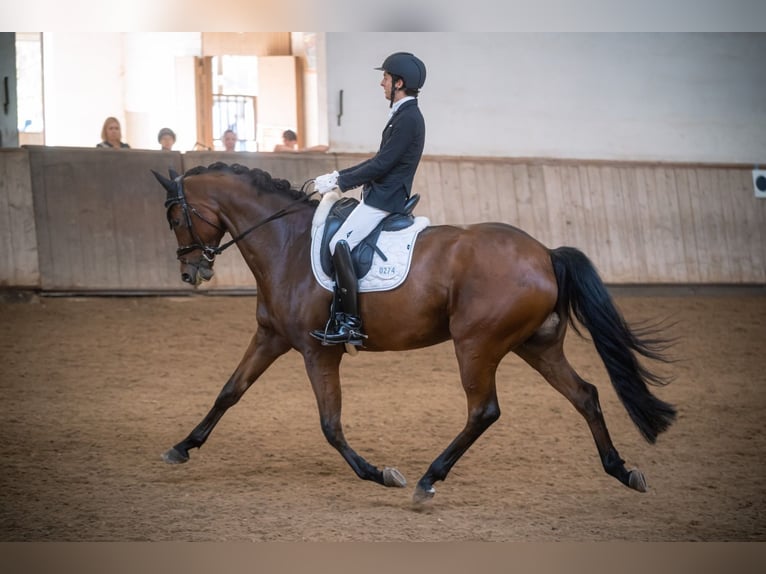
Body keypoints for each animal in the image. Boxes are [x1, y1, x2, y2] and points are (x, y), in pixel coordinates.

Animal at [152, 161, 676, 503]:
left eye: (176, 217)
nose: (192, 272)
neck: (288, 243)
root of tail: (545, 253)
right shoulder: (271, 337)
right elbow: (229, 392)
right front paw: (181, 447)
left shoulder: (317, 351)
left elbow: (330, 424)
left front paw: (380, 474)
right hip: (536, 346)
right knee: (585, 394)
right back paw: (621, 471)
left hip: (476, 344)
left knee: (484, 410)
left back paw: (428, 479)